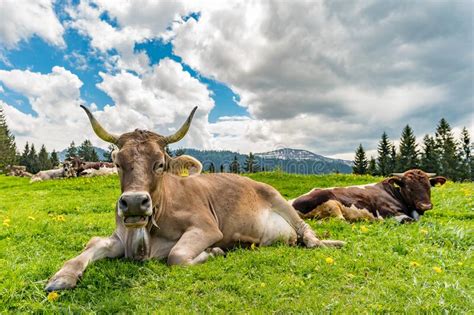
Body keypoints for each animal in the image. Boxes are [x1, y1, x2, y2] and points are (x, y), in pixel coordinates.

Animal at [44, 107, 342, 294]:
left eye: (160, 164)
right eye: (117, 163)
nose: (134, 202)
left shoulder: (206, 227)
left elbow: (176, 256)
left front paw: (214, 252)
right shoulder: (120, 237)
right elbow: (91, 245)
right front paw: (62, 276)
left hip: (278, 198)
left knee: (307, 235)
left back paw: (329, 243)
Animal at [290, 170, 446, 225]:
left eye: (429, 186)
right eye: (409, 187)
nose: (425, 205)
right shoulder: (385, 212)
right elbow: (408, 220)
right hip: (329, 202)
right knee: (340, 220)